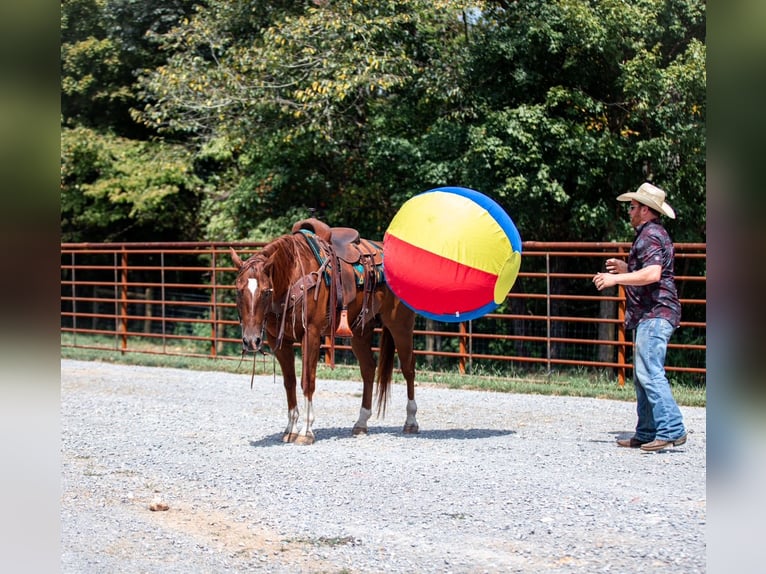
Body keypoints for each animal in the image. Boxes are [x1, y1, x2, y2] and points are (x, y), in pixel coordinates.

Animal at [230, 218, 418, 445]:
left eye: (266, 292)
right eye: (238, 291)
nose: (251, 341)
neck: (293, 275)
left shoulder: (310, 335)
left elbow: (307, 381)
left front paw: (306, 432)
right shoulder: (279, 341)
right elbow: (289, 382)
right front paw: (290, 429)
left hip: (400, 325)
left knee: (408, 368)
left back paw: (411, 422)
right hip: (360, 332)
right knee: (368, 369)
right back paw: (361, 423)